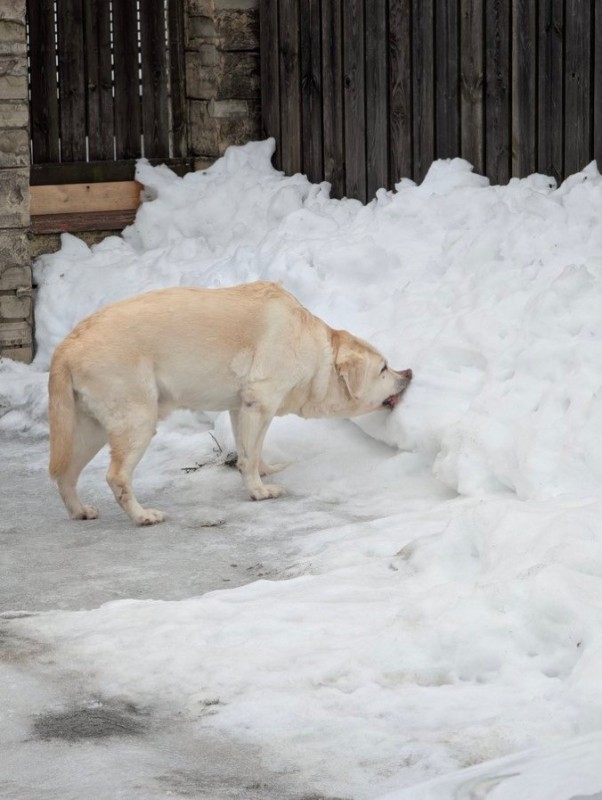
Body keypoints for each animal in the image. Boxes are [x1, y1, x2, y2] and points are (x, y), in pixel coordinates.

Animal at [49, 282, 410, 524]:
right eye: (383, 368)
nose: (409, 373)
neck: (313, 351)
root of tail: (67, 345)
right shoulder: (260, 403)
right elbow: (248, 458)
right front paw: (259, 491)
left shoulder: (240, 408)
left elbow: (253, 450)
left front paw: (266, 472)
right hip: (137, 420)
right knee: (116, 477)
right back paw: (142, 515)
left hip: (91, 429)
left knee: (65, 474)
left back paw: (79, 511)